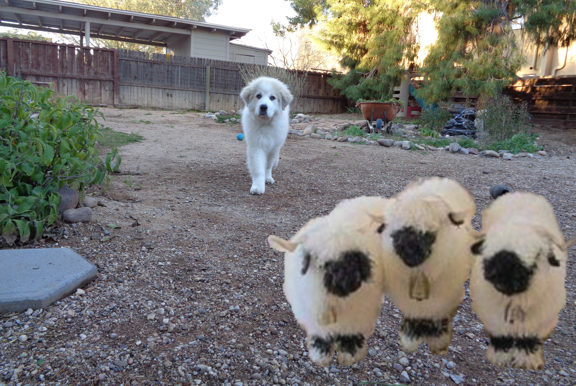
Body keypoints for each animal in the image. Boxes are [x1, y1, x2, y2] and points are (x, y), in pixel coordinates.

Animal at [472, 191, 572, 370]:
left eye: (537, 254)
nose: (498, 273)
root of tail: (518, 193)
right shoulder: (492, 309)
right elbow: (500, 333)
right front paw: (499, 356)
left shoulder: (542, 315)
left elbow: (529, 338)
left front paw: (526, 361)